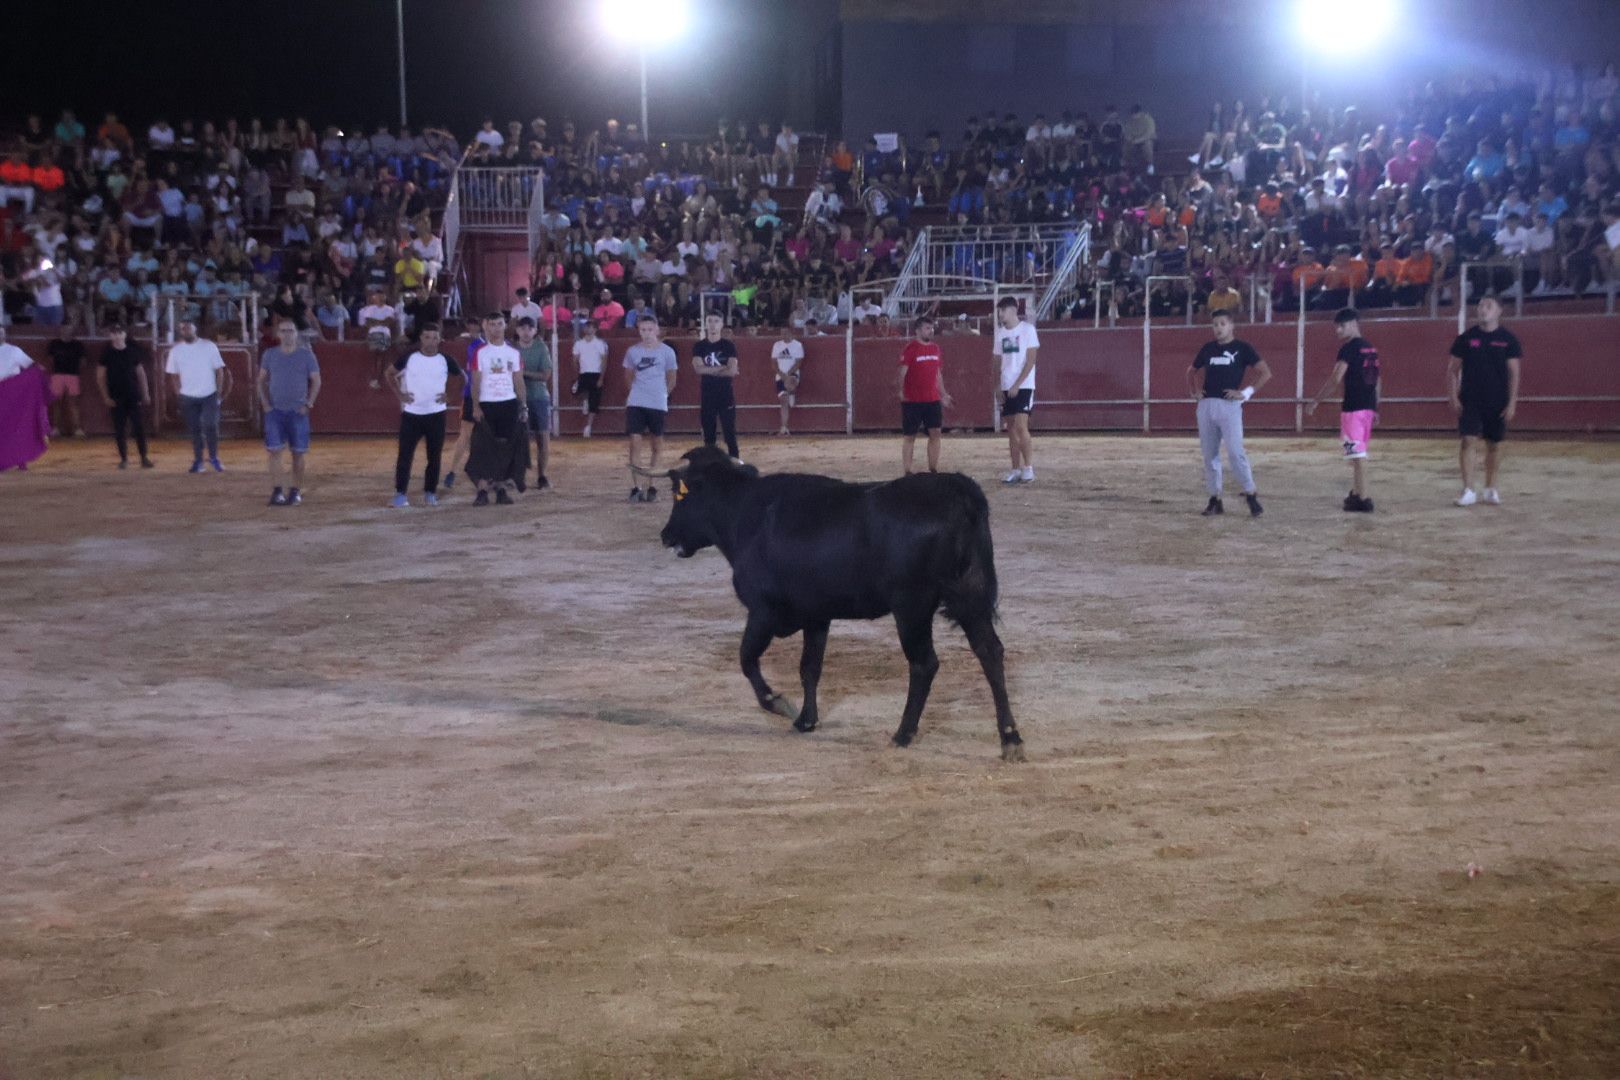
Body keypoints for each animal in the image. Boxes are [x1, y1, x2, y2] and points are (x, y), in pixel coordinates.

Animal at [651, 446, 1017, 761]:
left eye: (679, 494)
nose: (666, 535)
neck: (746, 515)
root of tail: (957, 489)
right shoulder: (817, 616)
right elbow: (809, 667)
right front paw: (806, 719)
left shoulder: (763, 610)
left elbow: (747, 658)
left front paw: (778, 702)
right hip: (970, 596)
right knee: (990, 652)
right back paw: (1011, 739)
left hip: (912, 606)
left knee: (924, 664)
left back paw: (903, 733)